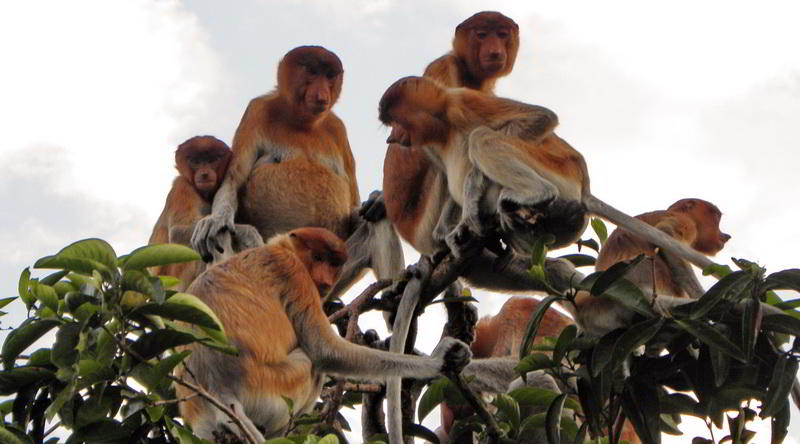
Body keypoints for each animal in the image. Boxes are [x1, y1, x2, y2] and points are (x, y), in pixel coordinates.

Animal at [177, 227, 468, 442]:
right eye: (317, 258)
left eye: (334, 263)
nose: (326, 281)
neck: (280, 249)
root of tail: (220, 388)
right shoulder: (295, 273)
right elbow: (322, 349)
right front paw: (439, 359)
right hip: (274, 386)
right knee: (311, 363)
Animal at [191, 45, 404, 298]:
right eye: (312, 72)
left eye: (329, 76)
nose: (322, 94)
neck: (303, 122)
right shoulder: (257, 110)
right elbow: (233, 180)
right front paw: (214, 221)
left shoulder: (337, 128)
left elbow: (355, 205)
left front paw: (376, 198)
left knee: (377, 221)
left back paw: (395, 293)